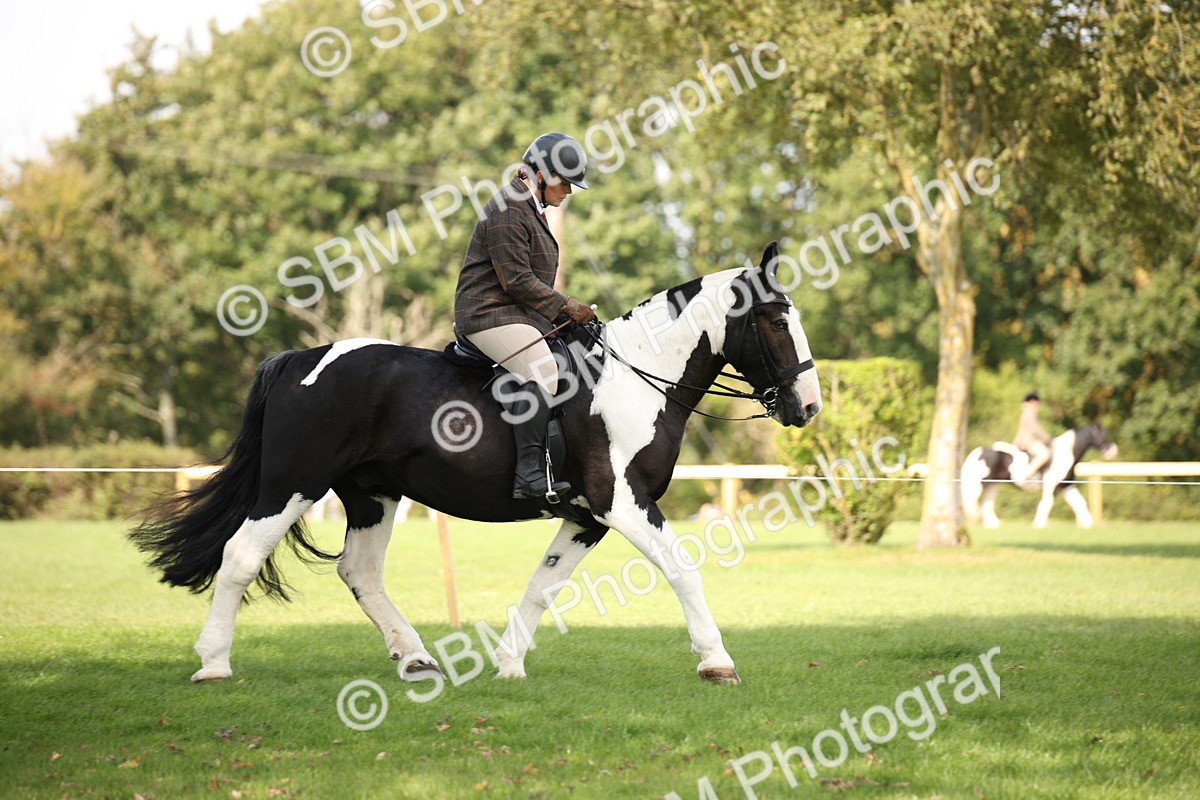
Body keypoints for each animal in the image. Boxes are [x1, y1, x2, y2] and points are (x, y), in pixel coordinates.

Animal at [130, 242, 822, 686]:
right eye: (774, 320)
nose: (808, 406)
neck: (635, 378)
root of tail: (301, 359)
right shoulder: (622, 503)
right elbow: (683, 572)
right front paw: (716, 661)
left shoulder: (586, 518)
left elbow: (543, 586)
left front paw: (509, 665)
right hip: (292, 484)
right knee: (241, 557)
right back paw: (214, 664)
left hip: (371, 495)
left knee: (360, 573)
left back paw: (414, 659)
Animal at [961, 423, 1117, 529]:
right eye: (1103, 434)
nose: (1113, 452)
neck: (1064, 454)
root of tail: (979, 452)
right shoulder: (1051, 485)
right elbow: (1046, 503)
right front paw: (1038, 524)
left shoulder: (1066, 486)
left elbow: (1079, 502)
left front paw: (1087, 523)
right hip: (980, 484)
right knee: (970, 500)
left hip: (993, 484)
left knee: (987, 503)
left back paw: (993, 524)